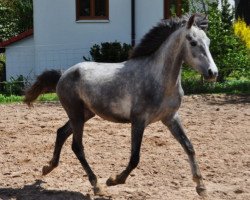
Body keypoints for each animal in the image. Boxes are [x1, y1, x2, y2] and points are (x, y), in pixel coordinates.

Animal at [24, 14, 218, 197]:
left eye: (208, 41)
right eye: (193, 42)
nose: (213, 73)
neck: (158, 79)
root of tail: (64, 74)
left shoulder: (171, 118)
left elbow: (189, 147)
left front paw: (201, 187)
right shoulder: (138, 121)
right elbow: (135, 158)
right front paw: (113, 180)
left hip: (85, 114)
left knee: (61, 133)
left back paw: (48, 167)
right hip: (76, 114)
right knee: (77, 146)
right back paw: (96, 185)